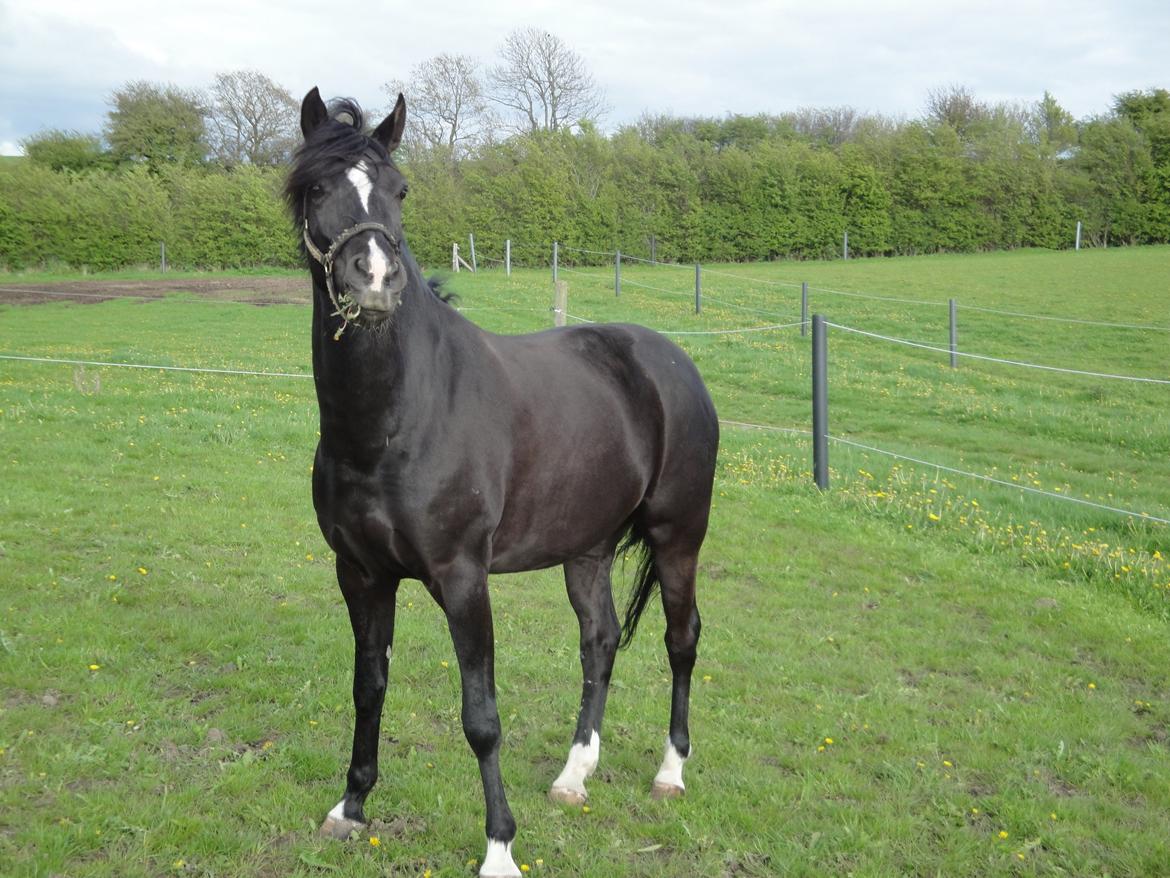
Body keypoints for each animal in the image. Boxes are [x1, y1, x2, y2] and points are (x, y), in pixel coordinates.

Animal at [287, 91, 716, 878]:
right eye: (318, 187)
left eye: (399, 190)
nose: (375, 280)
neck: (398, 418)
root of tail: (670, 360)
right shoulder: (361, 574)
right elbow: (368, 688)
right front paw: (350, 807)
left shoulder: (462, 578)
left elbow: (481, 718)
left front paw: (499, 849)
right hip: (587, 549)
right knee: (600, 640)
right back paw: (574, 775)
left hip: (679, 538)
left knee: (682, 639)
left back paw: (670, 771)